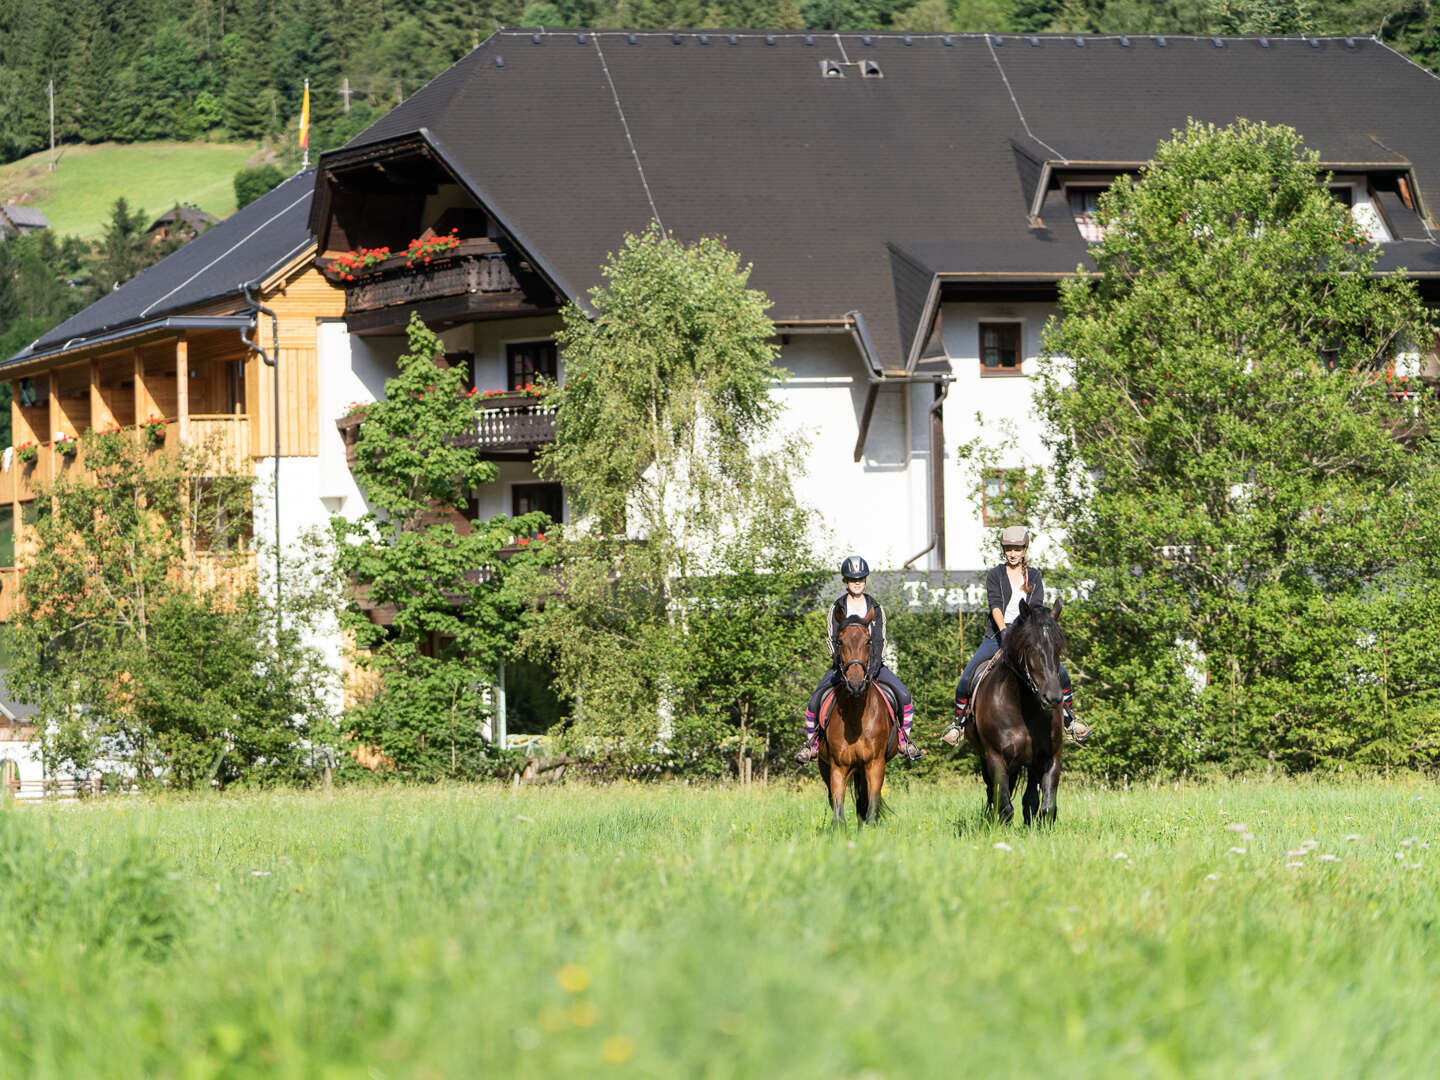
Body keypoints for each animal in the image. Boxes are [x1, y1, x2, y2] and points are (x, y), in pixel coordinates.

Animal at [817, 613, 892, 823]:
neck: (856, 718)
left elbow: (871, 811)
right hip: (826, 767)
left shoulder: (875, 765)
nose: (856, 684)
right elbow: (838, 816)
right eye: (840, 641)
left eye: (868, 641)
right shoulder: (838, 767)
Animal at [967, 601, 1071, 829]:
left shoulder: (1050, 757)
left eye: (1058, 647)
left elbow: (1046, 807)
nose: (1053, 698)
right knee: (992, 793)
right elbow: (1004, 804)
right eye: (1030, 646)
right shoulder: (995, 757)